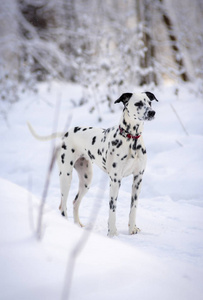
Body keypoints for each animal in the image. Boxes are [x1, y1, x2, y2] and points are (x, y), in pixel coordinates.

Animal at [27, 91, 158, 237]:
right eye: (138, 103)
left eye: (150, 102)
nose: (152, 112)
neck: (131, 140)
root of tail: (66, 133)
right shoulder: (115, 180)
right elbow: (112, 208)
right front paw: (112, 232)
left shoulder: (138, 179)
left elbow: (133, 207)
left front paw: (132, 228)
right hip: (66, 177)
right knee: (63, 205)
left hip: (86, 180)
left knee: (75, 202)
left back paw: (77, 225)